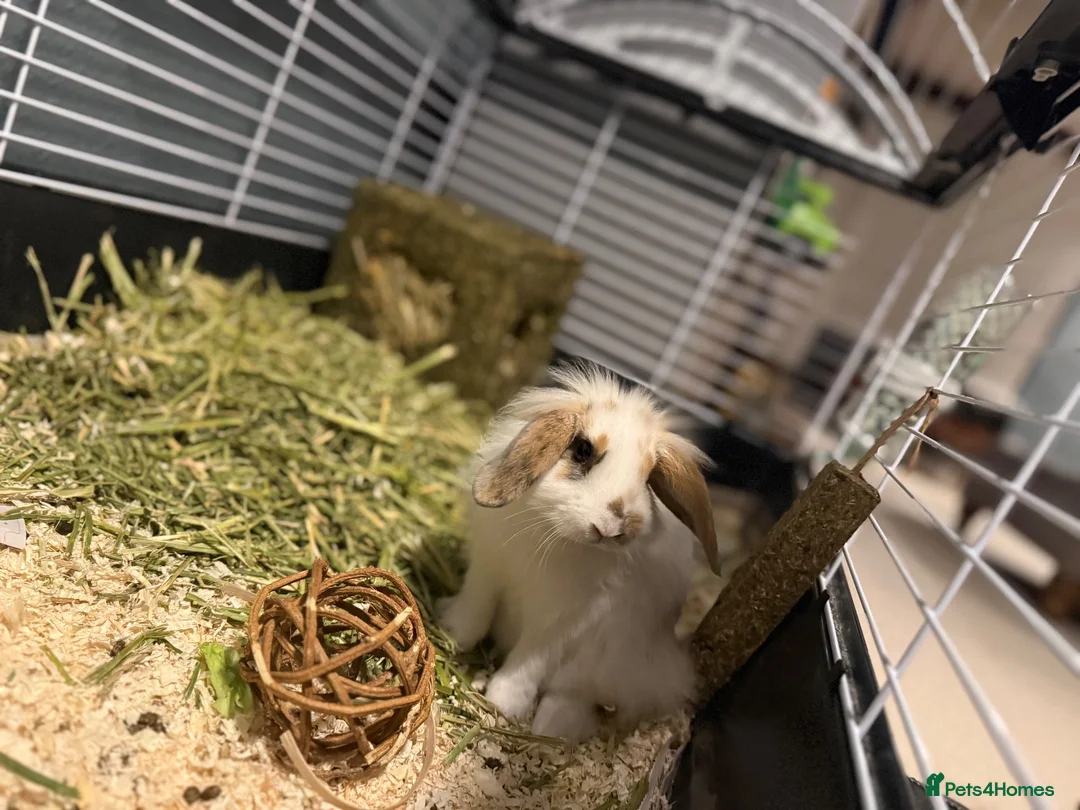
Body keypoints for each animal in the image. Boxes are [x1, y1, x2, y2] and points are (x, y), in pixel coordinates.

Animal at [439, 362, 722, 743]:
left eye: (649, 476)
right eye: (583, 450)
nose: (614, 527)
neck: (557, 537)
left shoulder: (563, 622)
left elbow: (529, 662)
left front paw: (504, 704)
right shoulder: (487, 570)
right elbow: (474, 613)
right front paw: (450, 633)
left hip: (599, 663)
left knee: (572, 694)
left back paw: (553, 729)